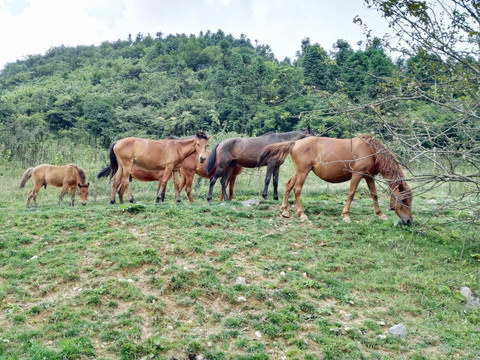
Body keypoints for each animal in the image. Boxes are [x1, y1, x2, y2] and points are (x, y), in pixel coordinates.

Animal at [258, 135, 412, 225]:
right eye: (403, 200)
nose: (409, 221)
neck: (370, 150)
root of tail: (295, 143)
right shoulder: (357, 175)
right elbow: (351, 194)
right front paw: (345, 216)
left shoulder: (369, 176)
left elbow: (374, 195)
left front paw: (380, 214)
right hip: (303, 172)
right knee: (297, 189)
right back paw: (301, 214)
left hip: (300, 171)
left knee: (289, 184)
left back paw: (284, 210)